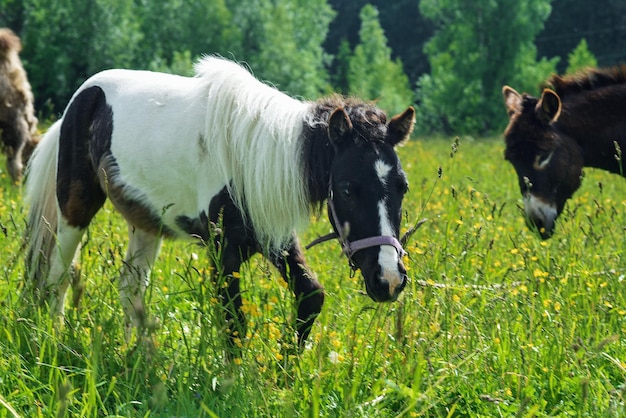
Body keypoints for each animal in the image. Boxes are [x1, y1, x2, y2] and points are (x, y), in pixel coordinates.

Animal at [25, 55, 414, 350]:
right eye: (347, 189)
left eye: (402, 187)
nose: (389, 279)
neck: (253, 157)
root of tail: (79, 99)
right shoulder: (224, 251)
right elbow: (234, 325)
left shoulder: (272, 237)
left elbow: (311, 296)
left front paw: (284, 377)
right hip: (75, 207)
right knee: (58, 275)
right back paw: (54, 339)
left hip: (146, 223)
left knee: (130, 288)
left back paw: (136, 355)